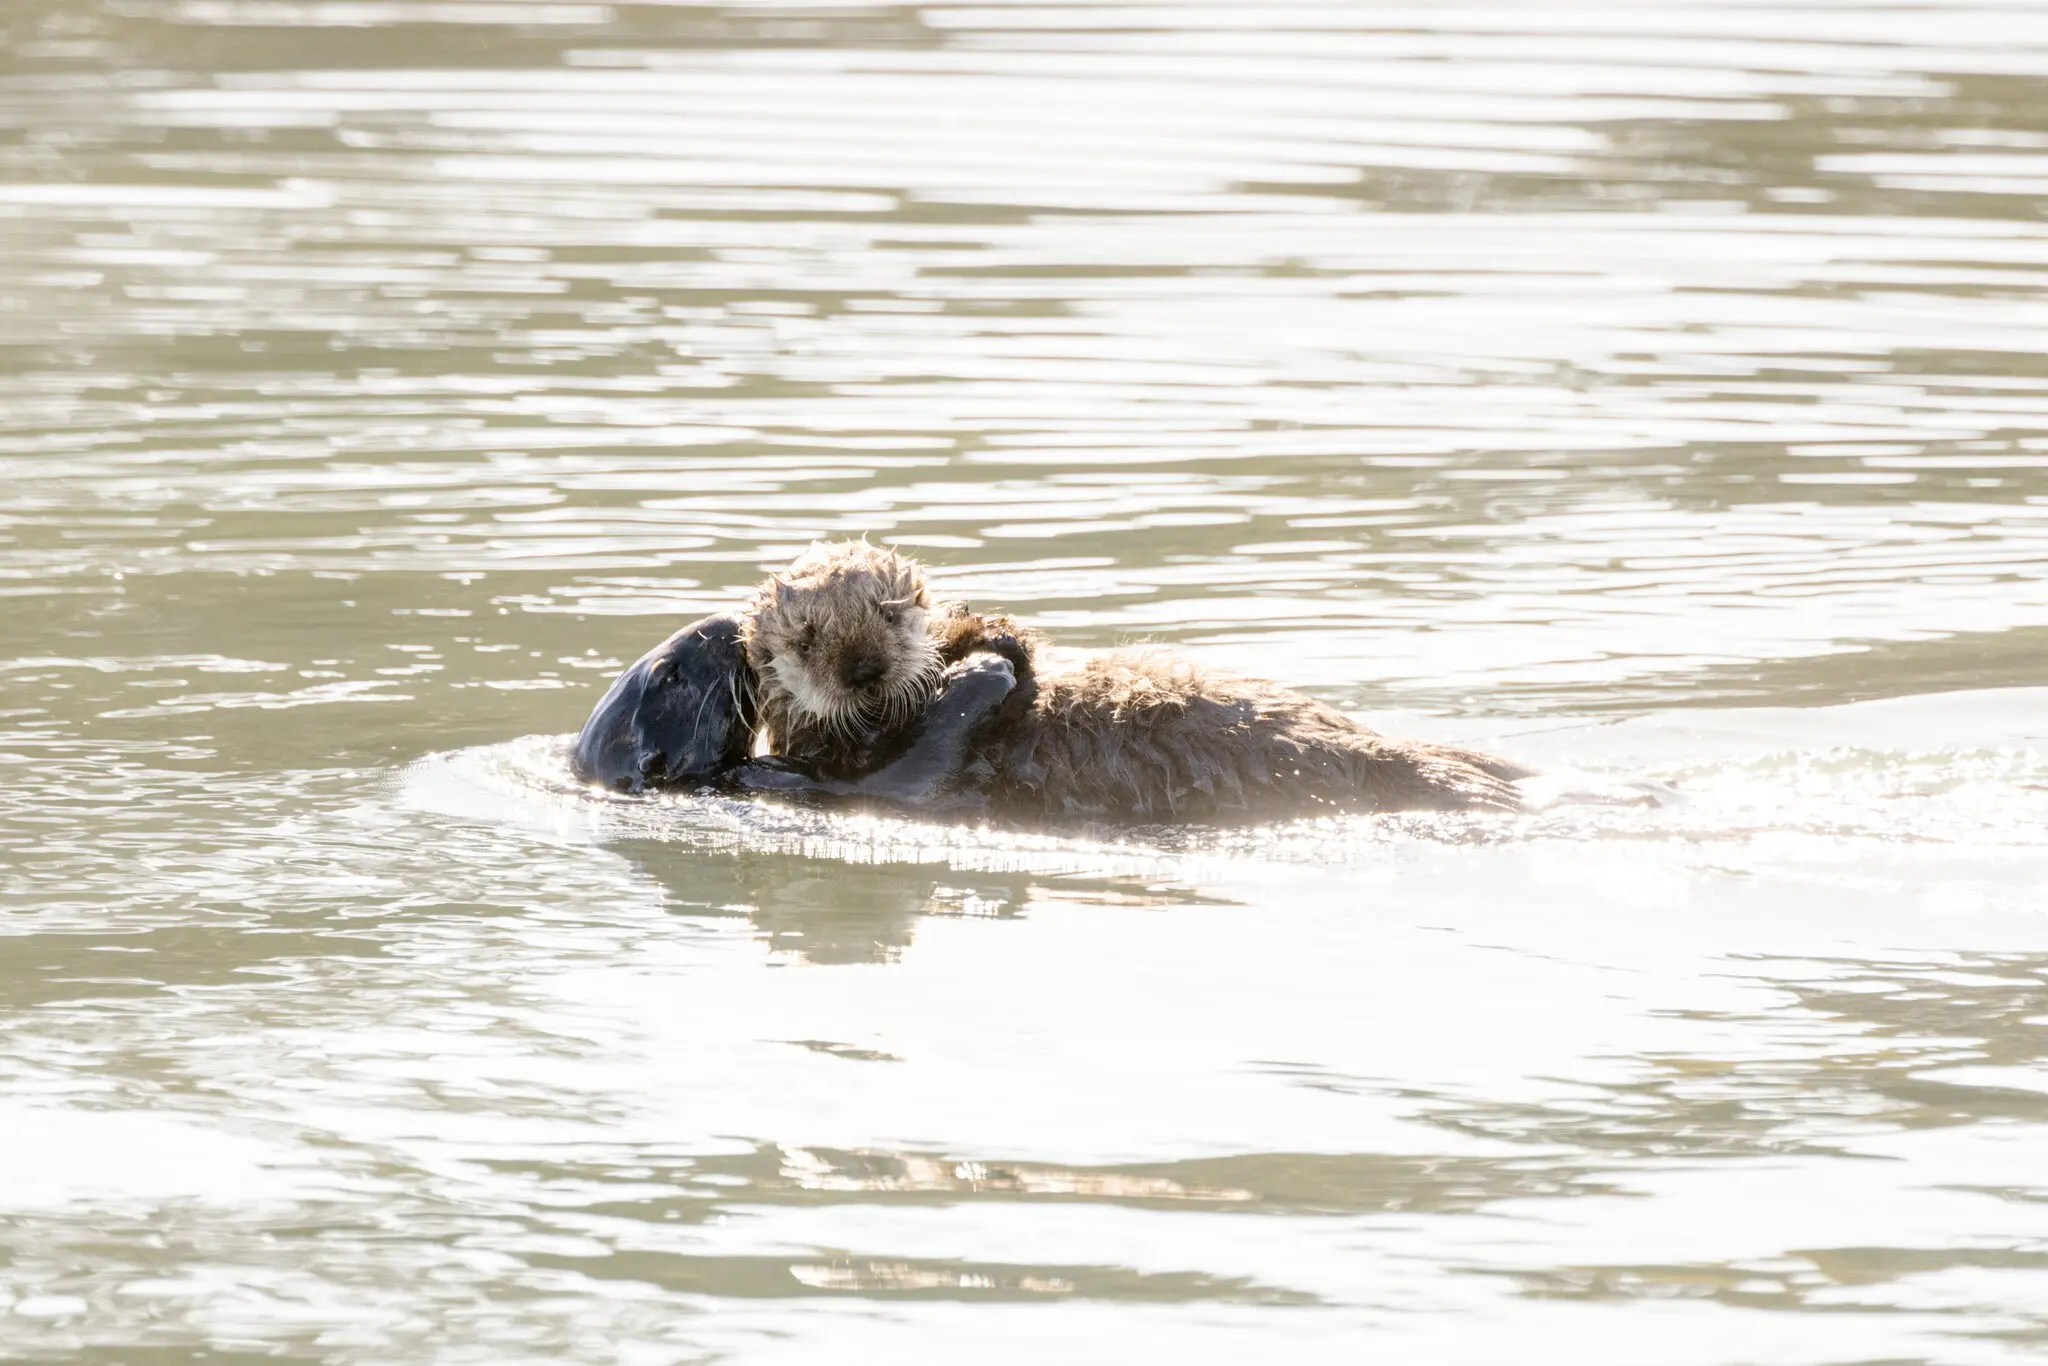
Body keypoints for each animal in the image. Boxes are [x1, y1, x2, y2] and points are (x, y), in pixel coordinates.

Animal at [733, 541, 1529, 820]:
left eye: (891, 613)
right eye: (805, 640)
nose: (865, 667)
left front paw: (990, 632)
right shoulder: (865, 780)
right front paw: (991, 658)